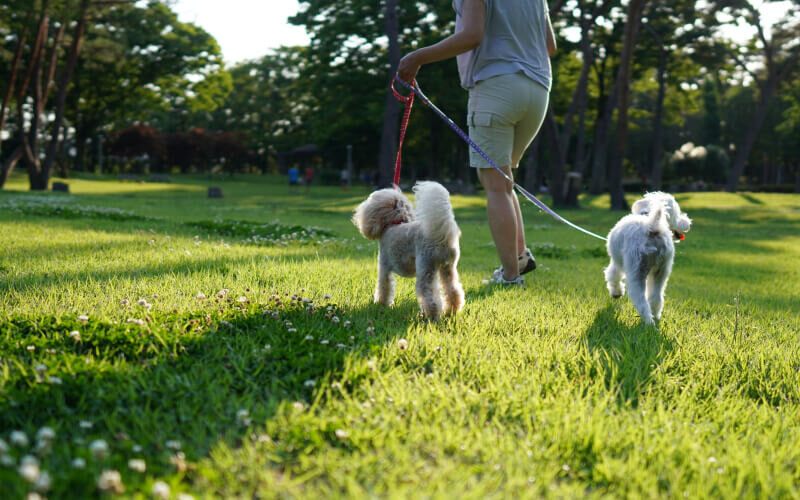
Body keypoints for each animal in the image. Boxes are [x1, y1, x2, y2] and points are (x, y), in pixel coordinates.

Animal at [354, 182, 466, 318]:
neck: (395, 223)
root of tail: (441, 237)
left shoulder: (384, 265)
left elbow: (384, 286)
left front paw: (381, 304)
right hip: (448, 266)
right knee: (453, 289)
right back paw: (451, 311)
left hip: (426, 266)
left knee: (429, 294)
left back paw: (431, 316)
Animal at [604, 191, 692, 324]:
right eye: (677, 214)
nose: (688, 222)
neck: (647, 213)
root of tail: (653, 226)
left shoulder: (617, 262)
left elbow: (613, 275)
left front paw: (616, 293)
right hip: (662, 271)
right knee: (656, 297)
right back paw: (655, 317)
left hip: (636, 271)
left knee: (641, 300)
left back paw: (648, 323)